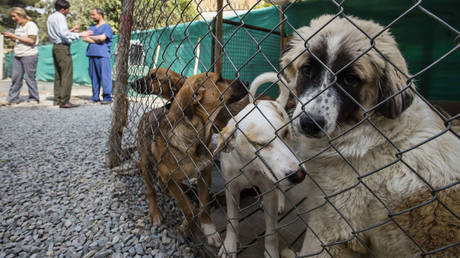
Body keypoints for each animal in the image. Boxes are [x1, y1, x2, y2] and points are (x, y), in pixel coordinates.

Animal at [216, 71, 306, 256]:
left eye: (284, 133)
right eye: (259, 144)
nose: (299, 175)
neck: (249, 166)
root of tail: (274, 101)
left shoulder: (269, 188)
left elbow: (271, 233)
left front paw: (271, 252)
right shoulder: (231, 189)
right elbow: (232, 221)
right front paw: (230, 245)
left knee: (279, 190)